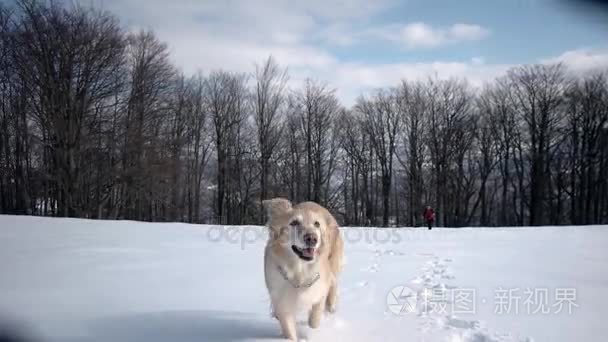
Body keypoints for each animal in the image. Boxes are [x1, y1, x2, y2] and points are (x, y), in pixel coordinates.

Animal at [264, 198, 344, 340]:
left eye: (317, 224)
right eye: (294, 222)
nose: (312, 238)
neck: (299, 270)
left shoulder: (319, 289)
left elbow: (315, 319)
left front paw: (312, 330)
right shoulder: (281, 301)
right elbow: (288, 329)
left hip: (332, 262)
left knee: (333, 281)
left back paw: (331, 305)